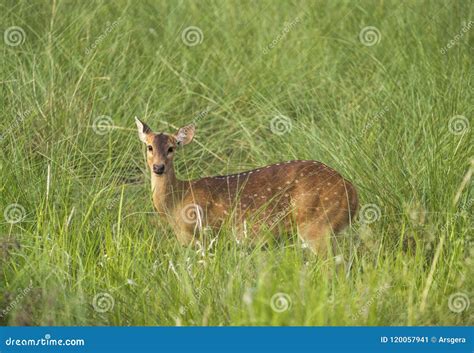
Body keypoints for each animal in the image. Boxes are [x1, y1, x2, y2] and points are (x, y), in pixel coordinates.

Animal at [135, 117, 358, 253]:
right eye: (149, 147)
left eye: (171, 148)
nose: (158, 167)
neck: (176, 202)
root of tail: (352, 191)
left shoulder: (205, 235)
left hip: (316, 223)